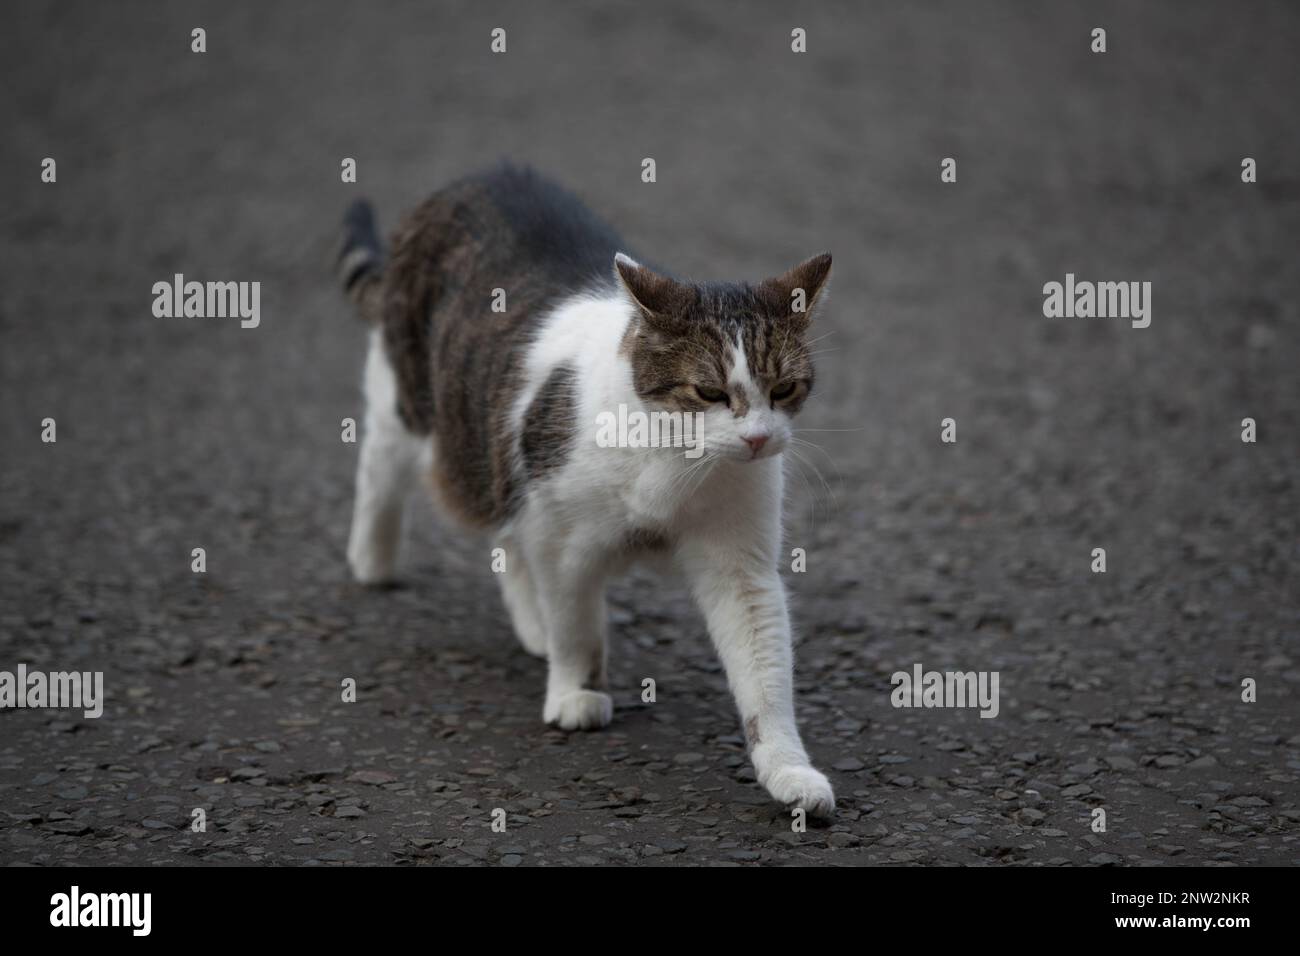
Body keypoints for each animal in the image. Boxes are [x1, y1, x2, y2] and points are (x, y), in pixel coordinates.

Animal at [335, 164, 837, 816]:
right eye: (709, 393)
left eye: (783, 389)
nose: (757, 438)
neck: (673, 460)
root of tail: (476, 177)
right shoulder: (560, 534)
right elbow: (576, 623)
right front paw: (575, 690)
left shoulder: (739, 564)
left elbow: (764, 671)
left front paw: (788, 771)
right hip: (418, 406)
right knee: (382, 467)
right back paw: (373, 560)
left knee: (507, 531)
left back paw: (531, 625)